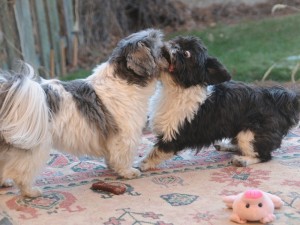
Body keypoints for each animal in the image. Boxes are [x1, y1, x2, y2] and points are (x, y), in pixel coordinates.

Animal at [0, 28, 164, 197]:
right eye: (161, 50)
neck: (124, 82)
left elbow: (112, 155)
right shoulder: (125, 135)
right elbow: (123, 156)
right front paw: (128, 172)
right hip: (34, 147)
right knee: (21, 173)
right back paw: (31, 192)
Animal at [141, 36, 300, 171]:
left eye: (186, 54)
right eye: (176, 41)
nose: (171, 45)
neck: (176, 89)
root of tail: (280, 100)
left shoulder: (174, 136)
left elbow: (155, 152)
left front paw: (141, 164)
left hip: (250, 134)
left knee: (264, 155)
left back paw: (243, 160)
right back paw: (226, 145)